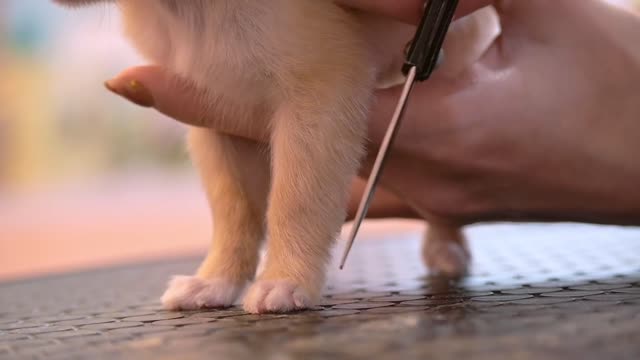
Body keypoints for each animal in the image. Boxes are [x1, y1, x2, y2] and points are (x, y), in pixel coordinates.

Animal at [52, 0, 500, 312]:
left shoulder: (319, 98)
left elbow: (294, 200)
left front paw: (286, 280)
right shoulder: (213, 113)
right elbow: (233, 209)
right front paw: (216, 280)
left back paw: (444, 243)